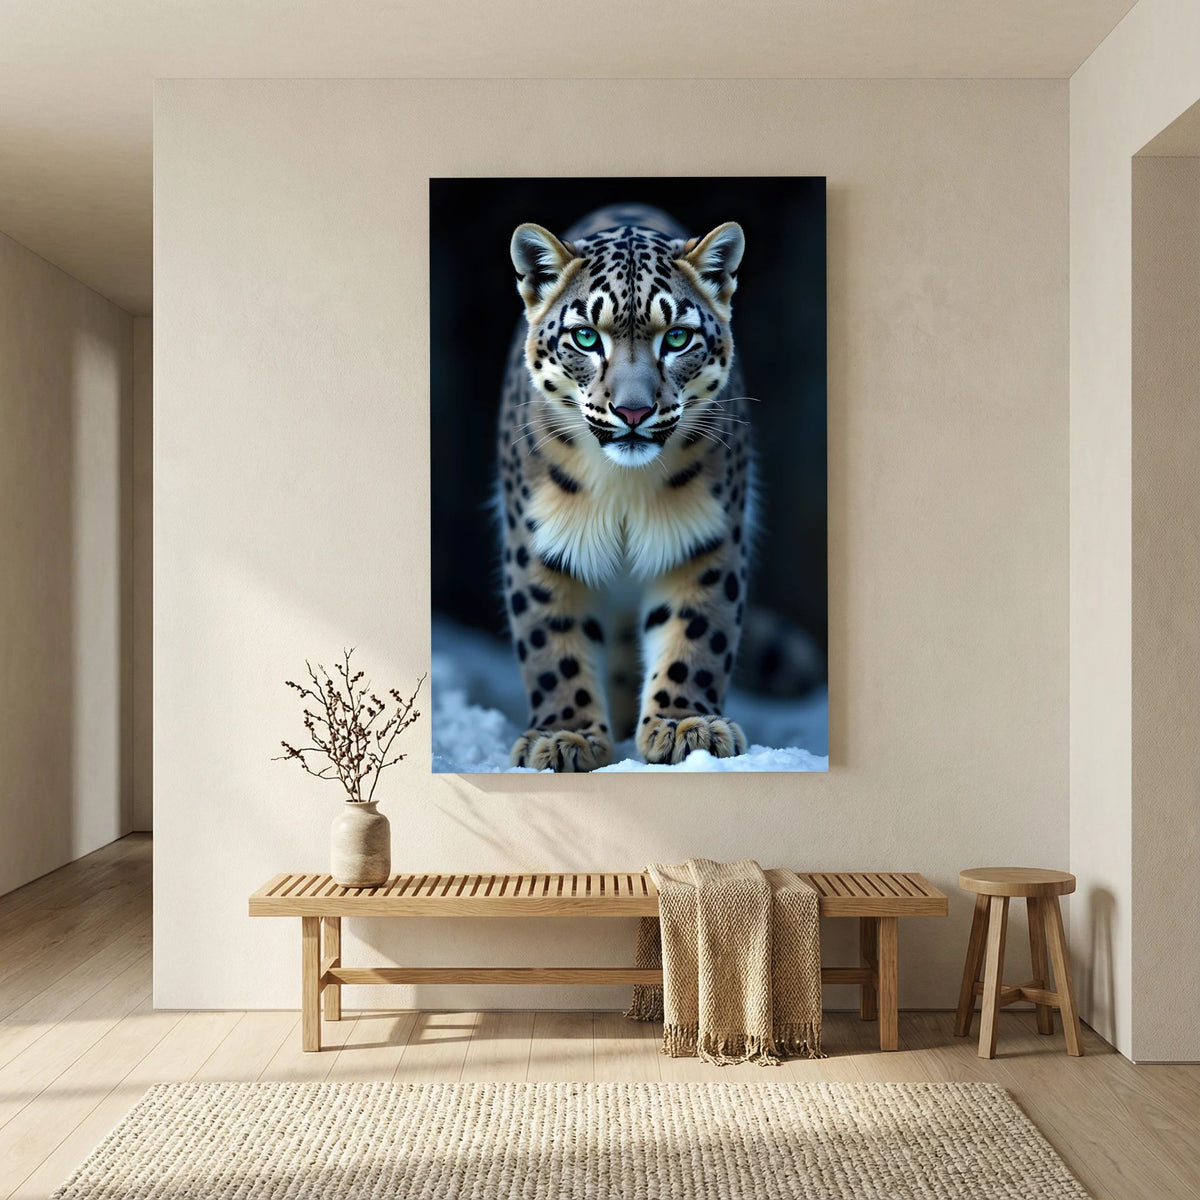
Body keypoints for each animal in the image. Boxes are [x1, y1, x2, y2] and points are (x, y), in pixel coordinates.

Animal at [496, 203, 755, 772]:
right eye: (586, 337)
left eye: (676, 337)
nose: (633, 411)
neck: (623, 488)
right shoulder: (540, 543)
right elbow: (552, 642)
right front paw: (565, 736)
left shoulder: (705, 538)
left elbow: (696, 631)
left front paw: (685, 726)